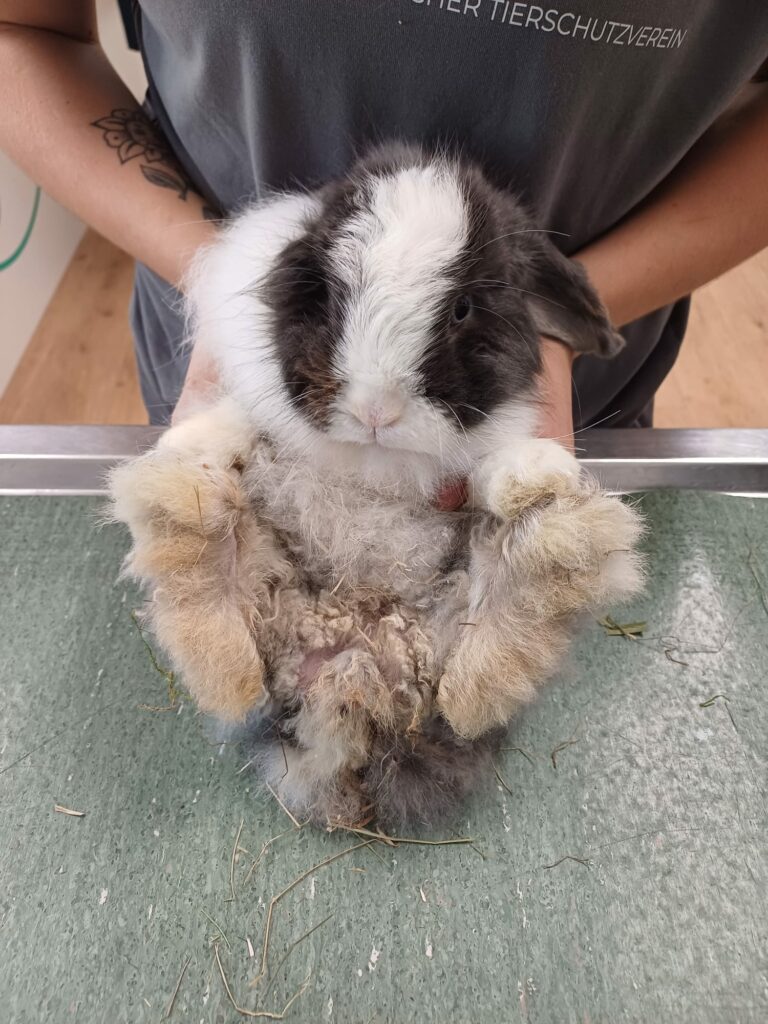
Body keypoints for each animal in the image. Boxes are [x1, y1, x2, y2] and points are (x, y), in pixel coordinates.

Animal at [111, 143, 644, 828]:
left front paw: (535, 473)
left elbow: (494, 459)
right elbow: (242, 417)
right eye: (331, 299)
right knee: (226, 658)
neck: (377, 463)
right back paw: (196, 526)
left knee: (477, 683)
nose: (376, 411)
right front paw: (191, 444)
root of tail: (354, 672)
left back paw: (539, 557)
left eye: (462, 309)